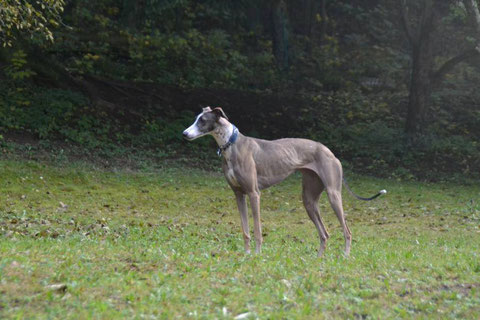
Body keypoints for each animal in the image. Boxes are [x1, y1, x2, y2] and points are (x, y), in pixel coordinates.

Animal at [181, 107, 386, 258]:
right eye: (196, 119)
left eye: (202, 120)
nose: (184, 134)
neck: (232, 145)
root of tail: (330, 152)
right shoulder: (239, 195)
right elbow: (245, 231)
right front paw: (247, 254)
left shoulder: (254, 194)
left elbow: (257, 230)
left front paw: (257, 255)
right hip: (309, 200)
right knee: (324, 233)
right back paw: (319, 258)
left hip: (333, 194)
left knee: (347, 231)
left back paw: (345, 256)